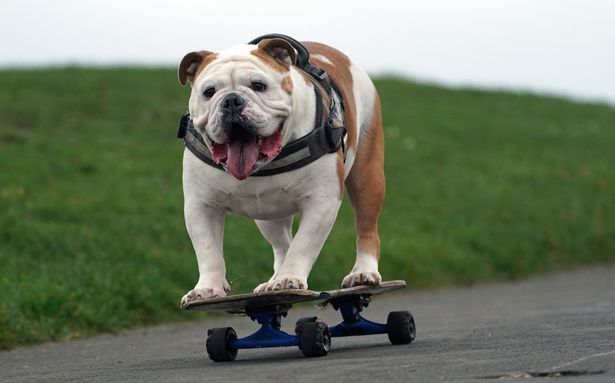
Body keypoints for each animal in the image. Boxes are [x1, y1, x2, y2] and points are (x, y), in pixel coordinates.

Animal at [176, 34, 382, 308]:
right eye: (209, 92)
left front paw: (289, 279)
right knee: (282, 243)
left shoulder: (322, 201)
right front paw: (207, 288)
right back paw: (272, 282)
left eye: (259, 85)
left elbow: (303, 244)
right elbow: (208, 251)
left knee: (366, 227)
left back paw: (363, 273)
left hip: (367, 177)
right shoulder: (201, 206)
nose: (231, 100)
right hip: (268, 214)